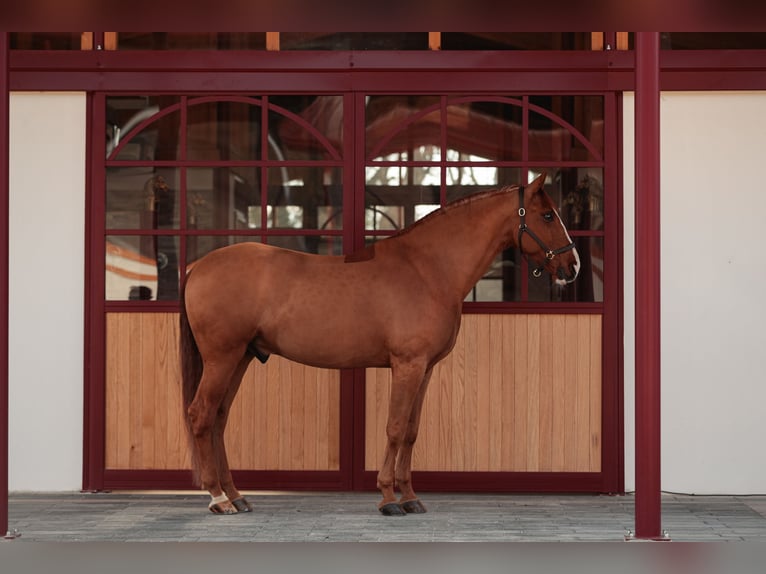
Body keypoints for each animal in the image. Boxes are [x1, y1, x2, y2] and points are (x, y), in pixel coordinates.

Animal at [180, 174, 580, 516]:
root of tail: (197, 266)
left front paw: (411, 497)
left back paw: (237, 495)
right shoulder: (407, 364)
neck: (427, 270)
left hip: (242, 357)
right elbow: (395, 427)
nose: (572, 266)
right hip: (222, 358)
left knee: (218, 419)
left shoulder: (425, 369)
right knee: (201, 415)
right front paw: (388, 498)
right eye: (547, 215)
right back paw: (218, 499)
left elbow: (412, 431)